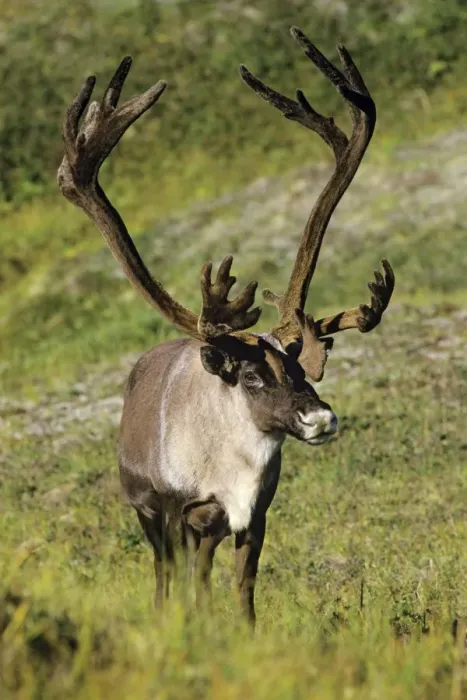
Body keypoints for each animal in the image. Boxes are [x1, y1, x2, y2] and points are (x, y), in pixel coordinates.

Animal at [58, 26, 394, 626]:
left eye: (303, 372)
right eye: (254, 377)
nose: (320, 418)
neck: (229, 471)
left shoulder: (253, 515)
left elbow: (242, 594)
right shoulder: (175, 508)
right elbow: (178, 587)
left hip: (208, 529)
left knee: (201, 576)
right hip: (147, 510)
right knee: (166, 576)